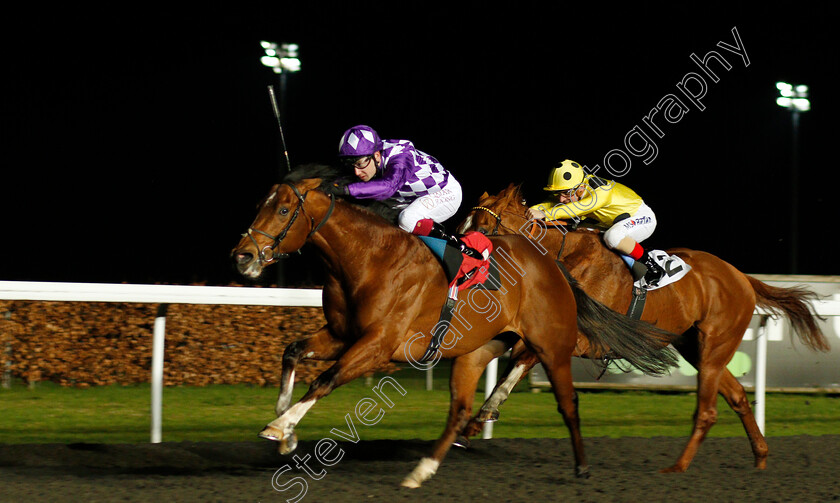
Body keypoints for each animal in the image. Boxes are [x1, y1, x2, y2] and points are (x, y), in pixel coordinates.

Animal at [230, 165, 676, 488]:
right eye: (260, 205)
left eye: (283, 210)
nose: (242, 256)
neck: (369, 257)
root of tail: (553, 266)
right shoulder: (341, 335)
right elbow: (291, 351)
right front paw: (287, 433)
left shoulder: (378, 344)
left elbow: (325, 379)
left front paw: (279, 427)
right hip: (476, 350)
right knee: (459, 410)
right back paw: (421, 471)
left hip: (551, 346)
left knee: (568, 402)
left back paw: (582, 468)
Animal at [452, 184, 828, 472]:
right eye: (462, 224)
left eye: (481, 227)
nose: (457, 262)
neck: (563, 259)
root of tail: (741, 277)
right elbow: (503, 362)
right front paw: (470, 426)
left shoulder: (575, 338)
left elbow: (517, 364)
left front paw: (481, 416)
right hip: (697, 349)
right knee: (736, 397)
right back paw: (760, 457)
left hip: (716, 345)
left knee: (707, 411)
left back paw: (678, 467)